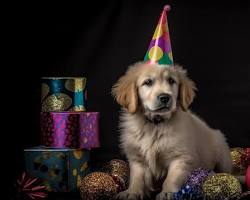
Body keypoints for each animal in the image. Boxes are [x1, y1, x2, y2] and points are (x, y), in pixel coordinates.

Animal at [112, 61, 232, 199]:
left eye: (171, 80)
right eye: (148, 82)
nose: (165, 97)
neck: (156, 124)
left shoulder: (181, 157)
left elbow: (172, 177)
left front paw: (168, 192)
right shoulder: (137, 157)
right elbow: (138, 177)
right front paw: (132, 192)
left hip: (222, 151)